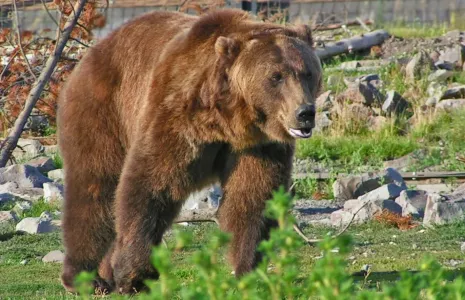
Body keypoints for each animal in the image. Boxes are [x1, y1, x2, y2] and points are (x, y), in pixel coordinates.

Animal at [56, 8, 320, 294]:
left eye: (308, 73)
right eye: (275, 76)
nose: (305, 113)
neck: (230, 119)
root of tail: (91, 53)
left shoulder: (259, 145)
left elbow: (252, 196)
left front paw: (247, 269)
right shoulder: (179, 112)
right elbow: (152, 184)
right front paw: (135, 276)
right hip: (103, 111)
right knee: (95, 188)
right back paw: (85, 277)